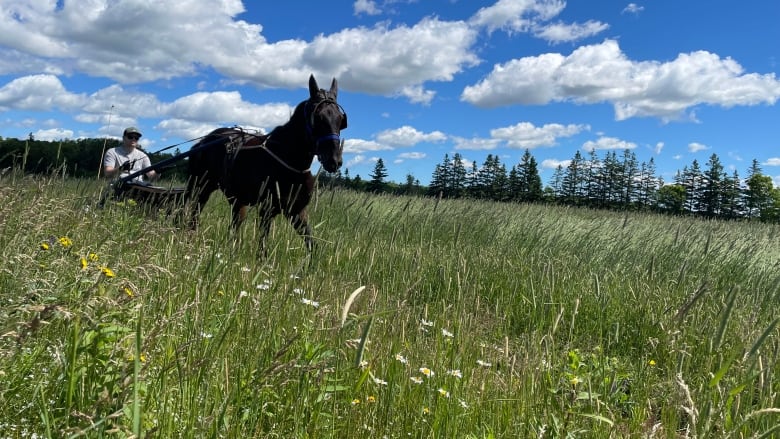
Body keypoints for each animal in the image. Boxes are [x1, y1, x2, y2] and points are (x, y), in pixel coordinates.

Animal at [184, 75, 346, 254]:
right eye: (318, 117)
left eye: (340, 119)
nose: (334, 160)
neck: (287, 158)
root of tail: (203, 141)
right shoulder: (267, 209)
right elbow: (263, 249)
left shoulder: (297, 210)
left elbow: (312, 245)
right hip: (202, 187)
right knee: (194, 216)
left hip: (236, 198)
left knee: (233, 224)